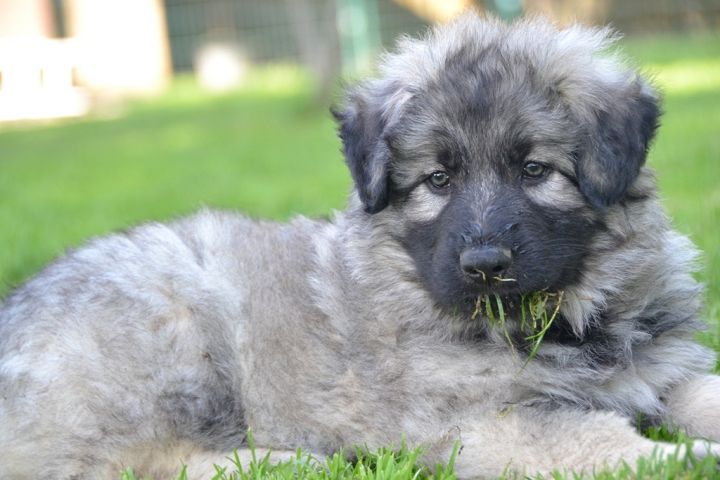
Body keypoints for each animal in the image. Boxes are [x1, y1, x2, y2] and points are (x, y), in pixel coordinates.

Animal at [1, 13, 719, 479]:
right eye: (438, 179)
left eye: (535, 170)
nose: (483, 265)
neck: (564, 321)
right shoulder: (487, 422)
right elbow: (601, 442)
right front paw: (683, 458)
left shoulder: (664, 369)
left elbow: (700, 393)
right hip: (177, 327)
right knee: (129, 465)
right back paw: (286, 462)